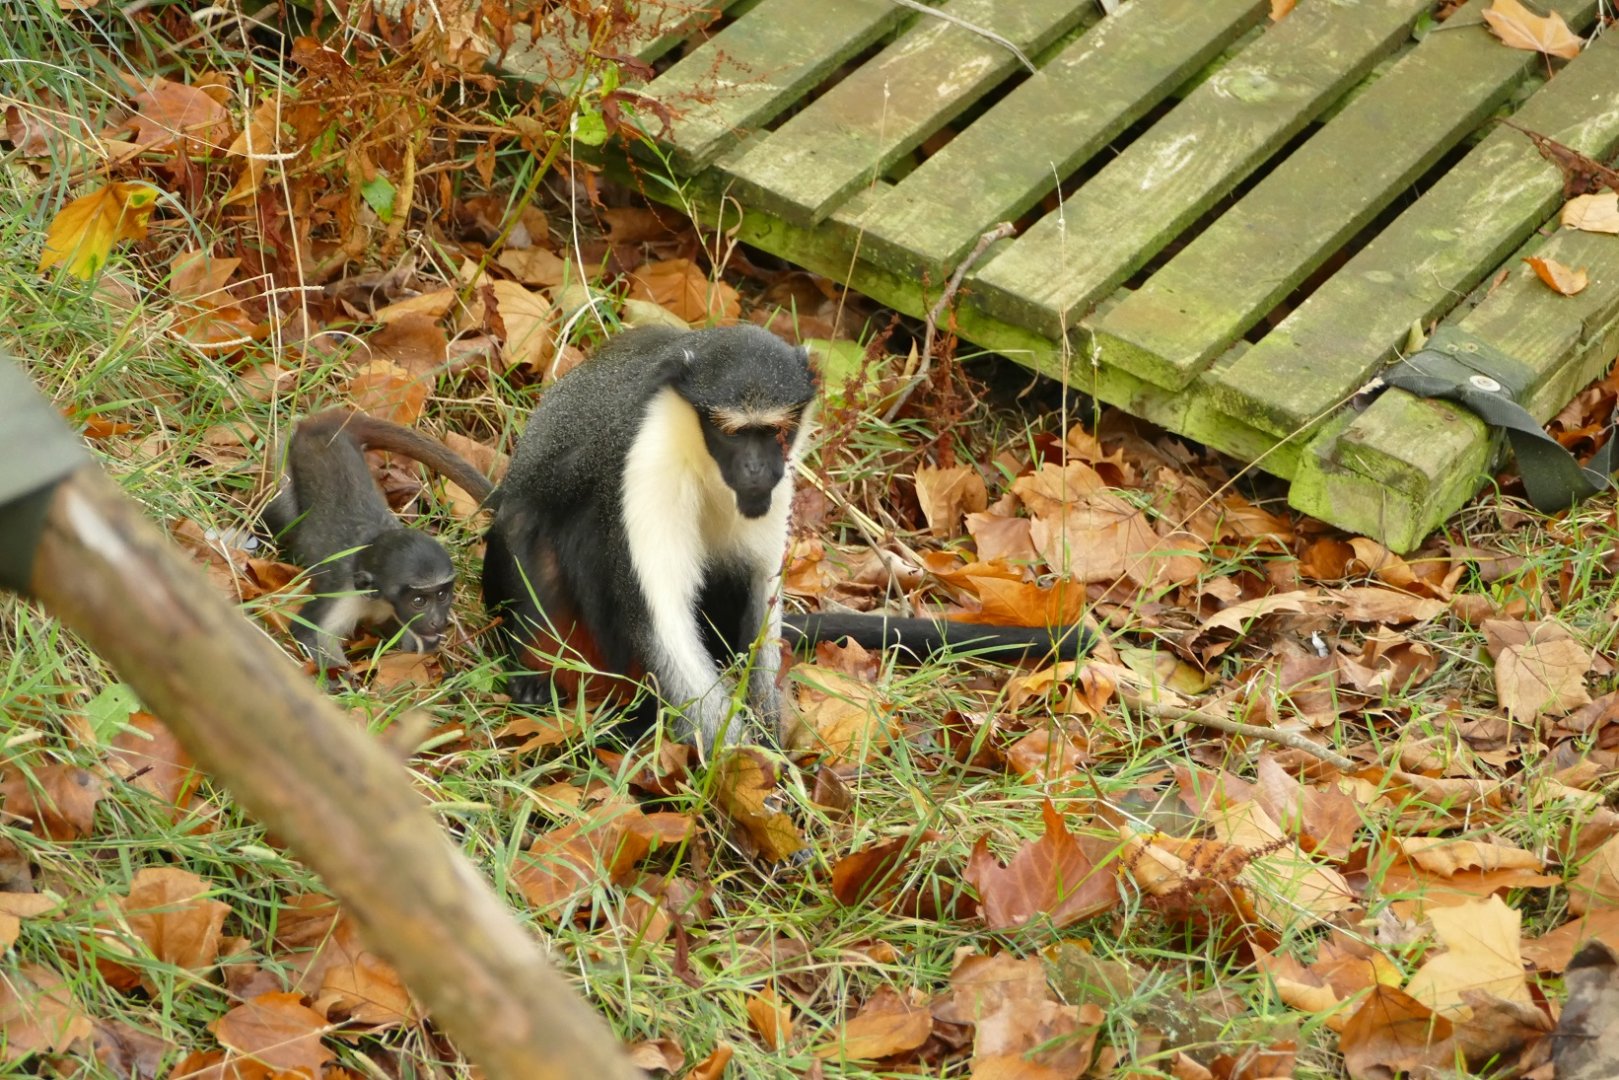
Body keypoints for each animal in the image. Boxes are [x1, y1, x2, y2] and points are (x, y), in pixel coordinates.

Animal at [265, 409, 496, 673]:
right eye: (418, 601)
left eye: (441, 596)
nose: (437, 621)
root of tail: (330, 427)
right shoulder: (346, 593)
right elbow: (310, 632)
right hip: (287, 452)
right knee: (282, 513)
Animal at [482, 324, 1096, 752]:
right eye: (733, 433)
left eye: (774, 433)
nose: (758, 469)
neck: (701, 458)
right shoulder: (645, 461)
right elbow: (661, 622)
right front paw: (753, 782)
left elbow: (759, 593)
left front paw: (770, 742)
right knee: (543, 532)